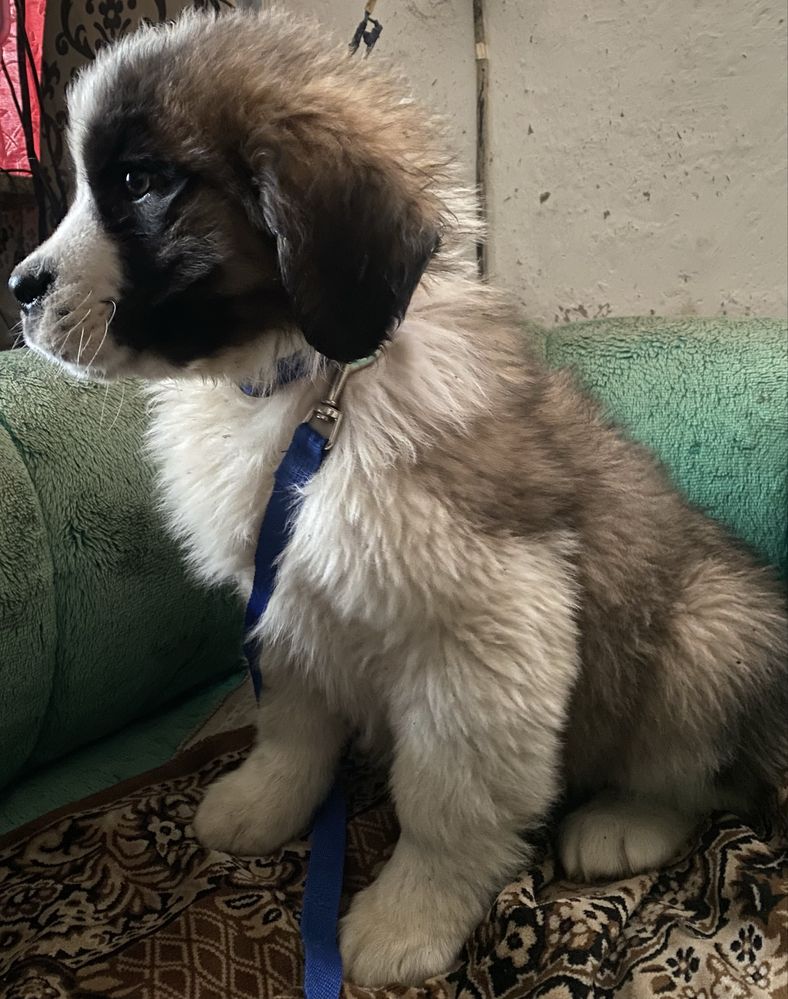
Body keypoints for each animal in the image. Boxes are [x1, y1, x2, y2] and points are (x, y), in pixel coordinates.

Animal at [10, 8, 787, 986]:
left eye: (141, 184)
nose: (17, 290)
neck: (312, 388)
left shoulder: (488, 630)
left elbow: (447, 798)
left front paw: (407, 917)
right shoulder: (286, 595)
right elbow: (294, 724)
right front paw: (263, 802)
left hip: (705, 632)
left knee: (710, 777)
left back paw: (621, 823)